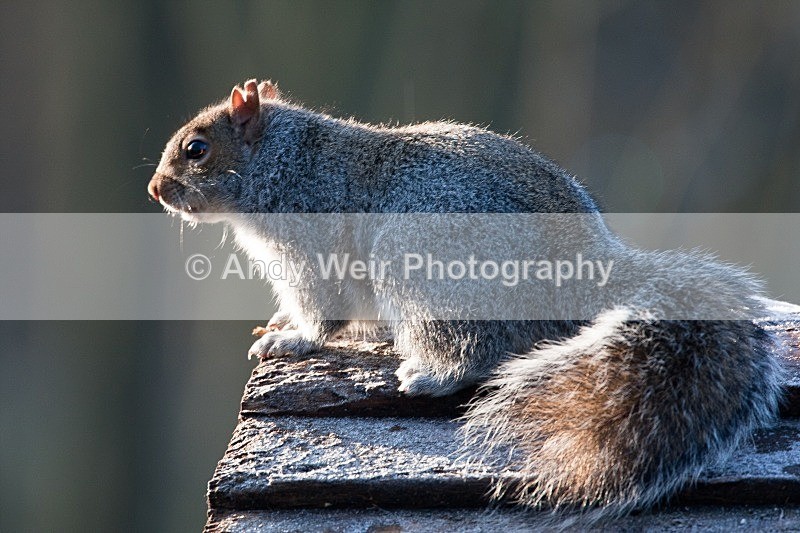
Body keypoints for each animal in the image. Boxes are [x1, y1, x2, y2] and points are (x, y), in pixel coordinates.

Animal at [148, 79, 783, 520]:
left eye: (196, 149)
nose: (155, 190)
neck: (286, 161)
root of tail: (585, 272)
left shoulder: (311, 248)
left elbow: (321, 312)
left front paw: (291, 338)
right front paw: (279, 323)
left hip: (423, 267)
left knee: (474, 352)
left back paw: (430, 374)